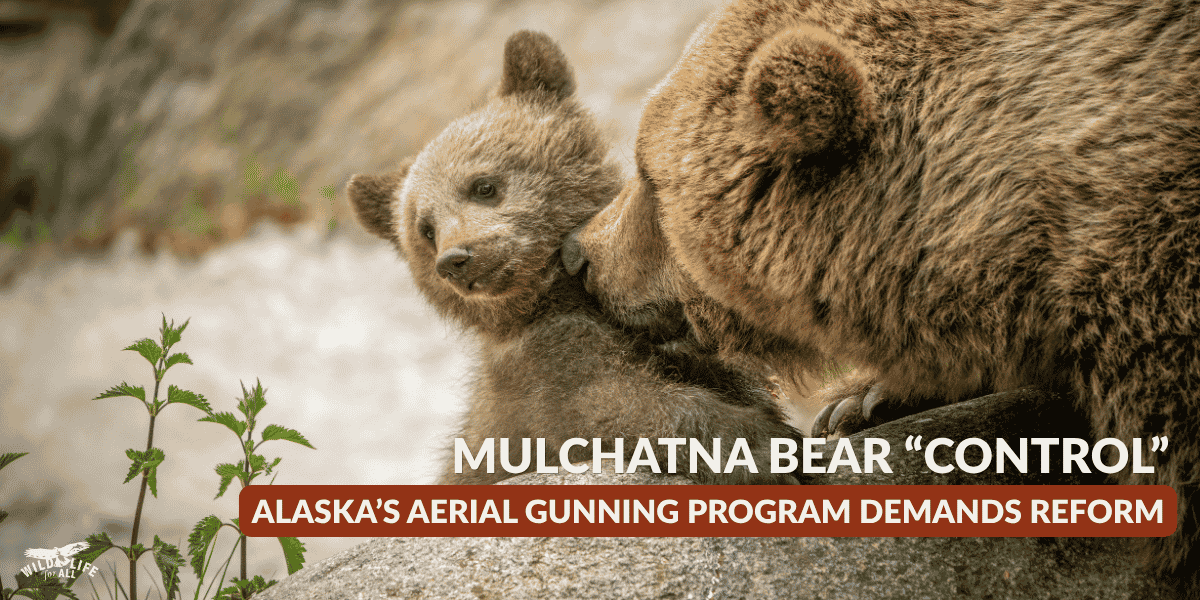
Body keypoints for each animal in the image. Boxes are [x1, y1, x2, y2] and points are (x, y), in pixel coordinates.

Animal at [345, 30, 803, 486]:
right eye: (425, 229)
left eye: (483, 185)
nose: (455, 259)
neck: (560, 296)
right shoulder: (546, 372)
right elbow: (614, 408)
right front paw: (764, 446)